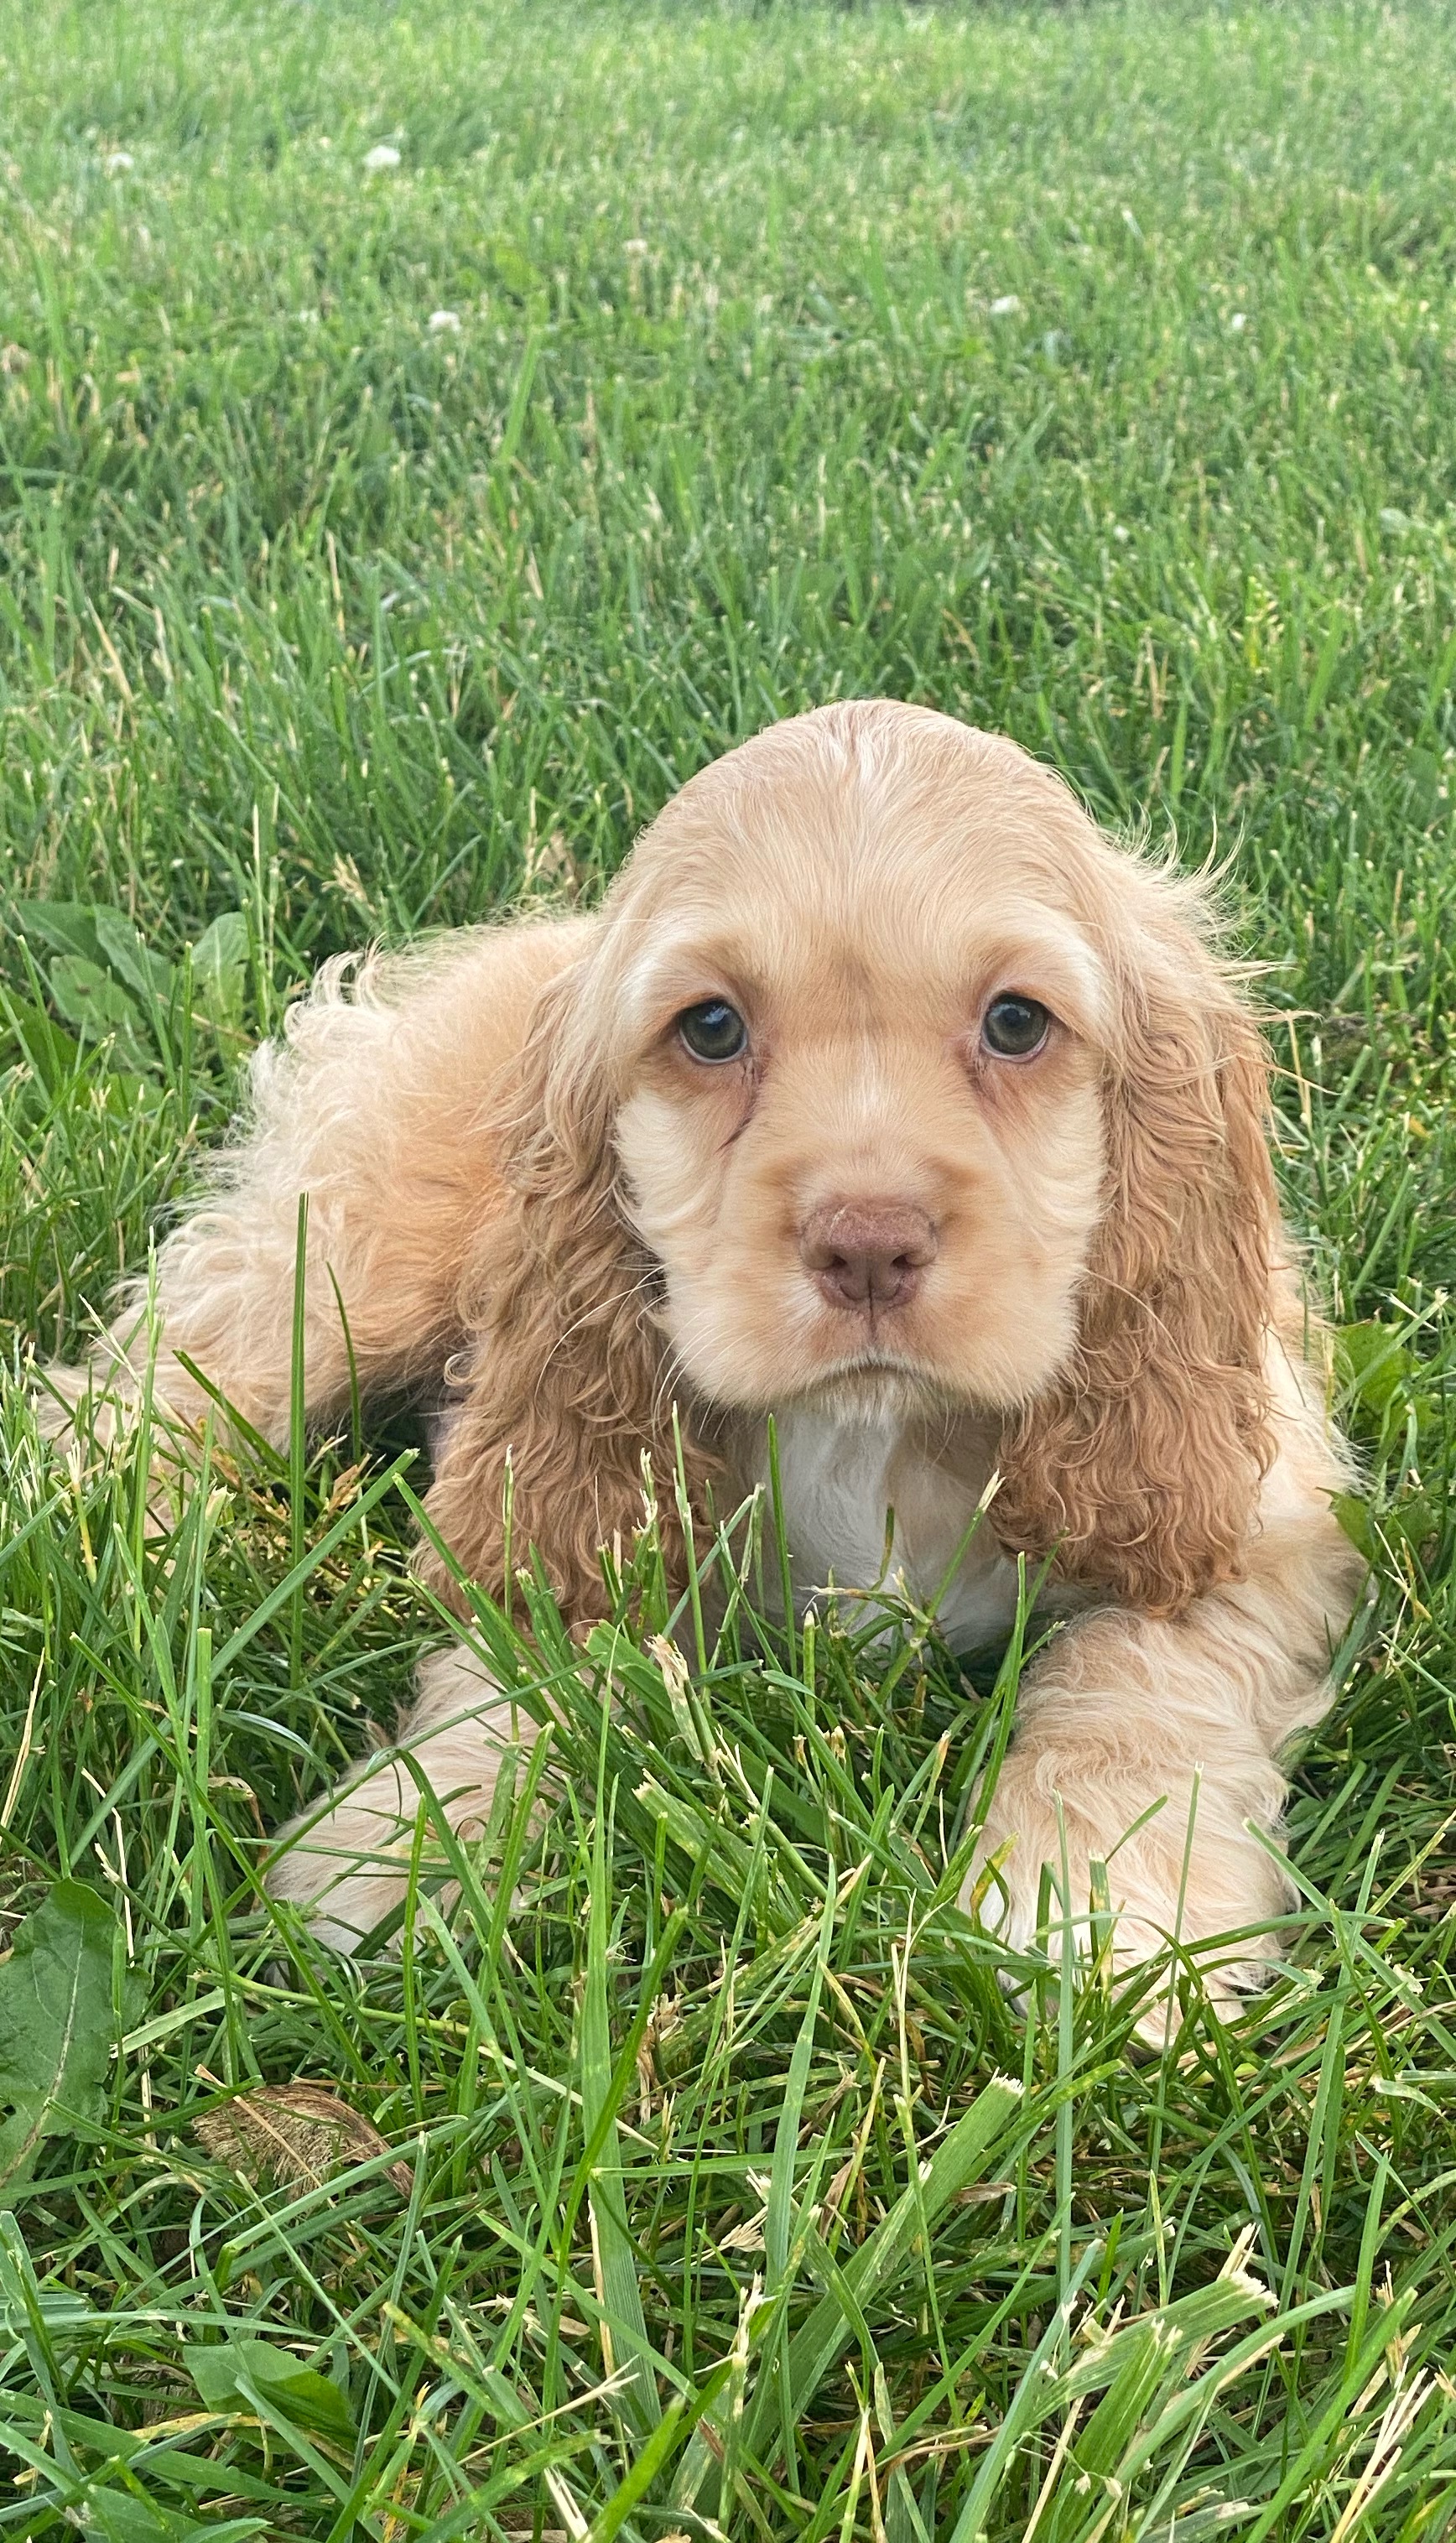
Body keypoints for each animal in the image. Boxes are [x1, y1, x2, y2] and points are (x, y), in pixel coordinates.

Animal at [45, 706, 1361, 1994]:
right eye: (712, 1029)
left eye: (1017, 1021)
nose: (867, 1245)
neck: (874, 1434)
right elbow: (531, 1651)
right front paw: (400, 1850)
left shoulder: (1252, 1508)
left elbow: (1135, 1672)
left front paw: (1098, 1901)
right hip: (347, 1255)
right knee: (158, 1374)